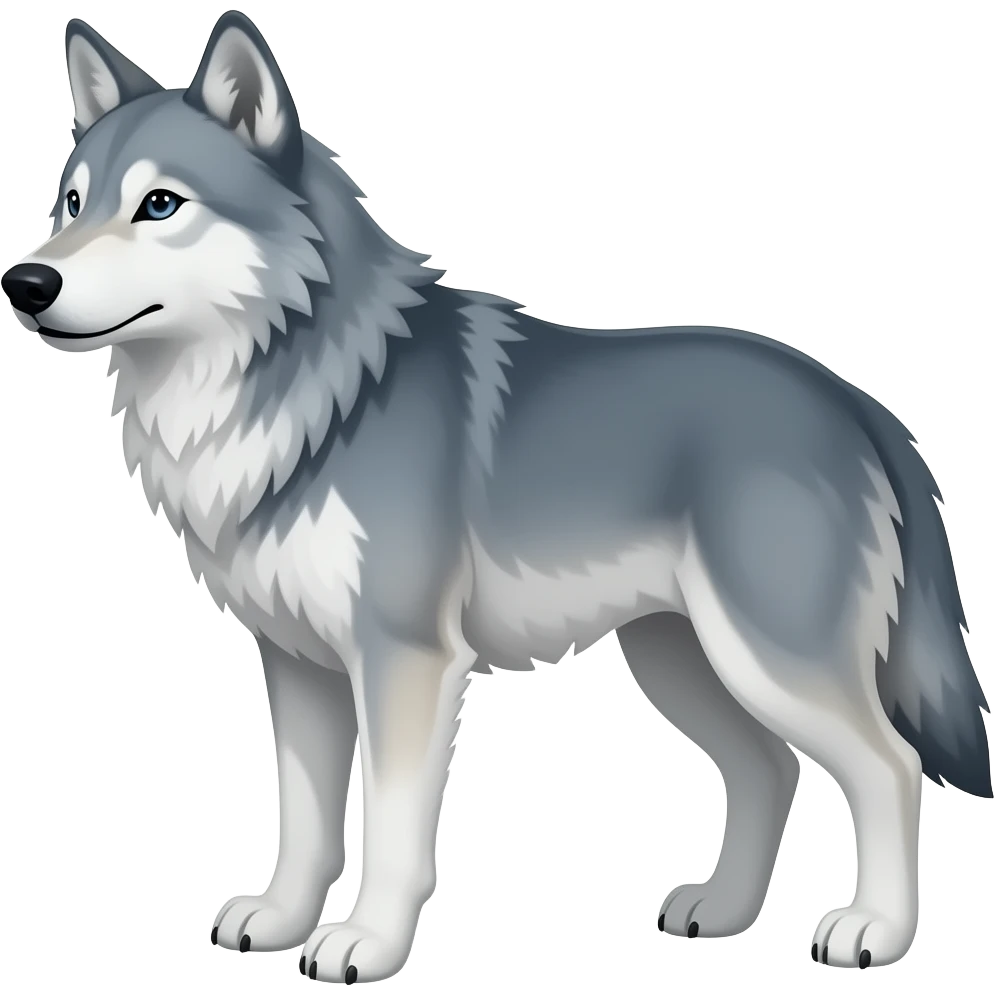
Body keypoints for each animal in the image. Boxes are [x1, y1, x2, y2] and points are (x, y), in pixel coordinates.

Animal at [2, 11, 990, 983]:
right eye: (71, 204)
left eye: (160, 205)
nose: (26, 282)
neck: (310, 389)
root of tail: (857, 402)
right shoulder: (297, 666)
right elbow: (305, 823)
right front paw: (281, 921)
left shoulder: (404, 660)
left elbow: (392, 831)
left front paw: (366, 944)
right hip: (682, 661)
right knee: (769, 770)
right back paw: (721, 912)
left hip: (768, 660)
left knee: (891, 768)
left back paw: (872, 932)